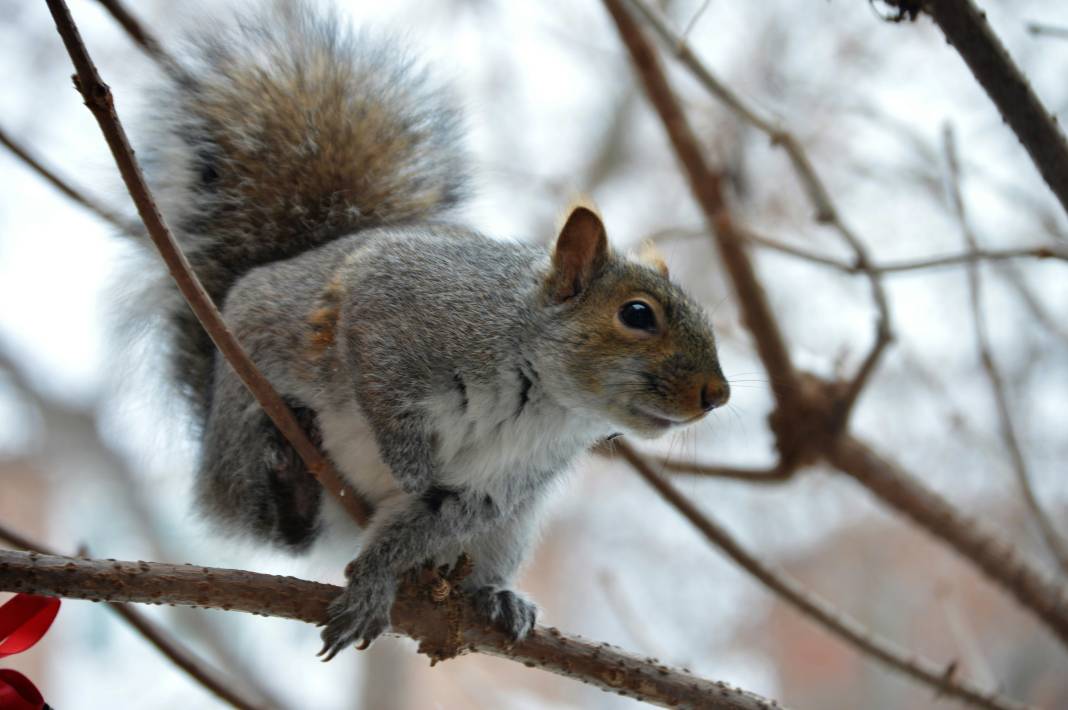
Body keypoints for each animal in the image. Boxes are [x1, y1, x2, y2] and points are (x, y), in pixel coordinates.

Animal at [137, 0, 726, 657]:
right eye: (637, 315)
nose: (718, 394)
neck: (541, 396)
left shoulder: (499, 486)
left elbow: (430, 520)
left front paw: (374, 582)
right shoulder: (395, 306)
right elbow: (381, 389)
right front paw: (410, 465)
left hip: (512, 528)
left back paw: (493, 596)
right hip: (243, 405)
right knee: (260, 518)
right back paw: (289, 476)